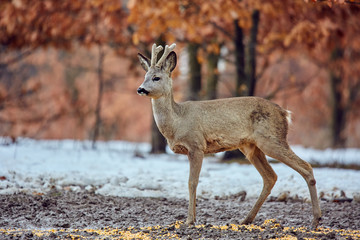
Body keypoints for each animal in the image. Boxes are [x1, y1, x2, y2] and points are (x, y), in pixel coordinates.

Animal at [136, 43, 322, 229]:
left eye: (156, 78)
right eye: (145, 76)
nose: (140, 89)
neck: (177, 122)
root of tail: (284, 113)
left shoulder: (197, 145)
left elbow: (192, 182)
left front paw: (189, 220)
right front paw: (192, 218)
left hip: (272, 139)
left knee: (306, 167)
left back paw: (315, 220)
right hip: (251, 147)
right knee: (271, 177)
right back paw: (246, 219)